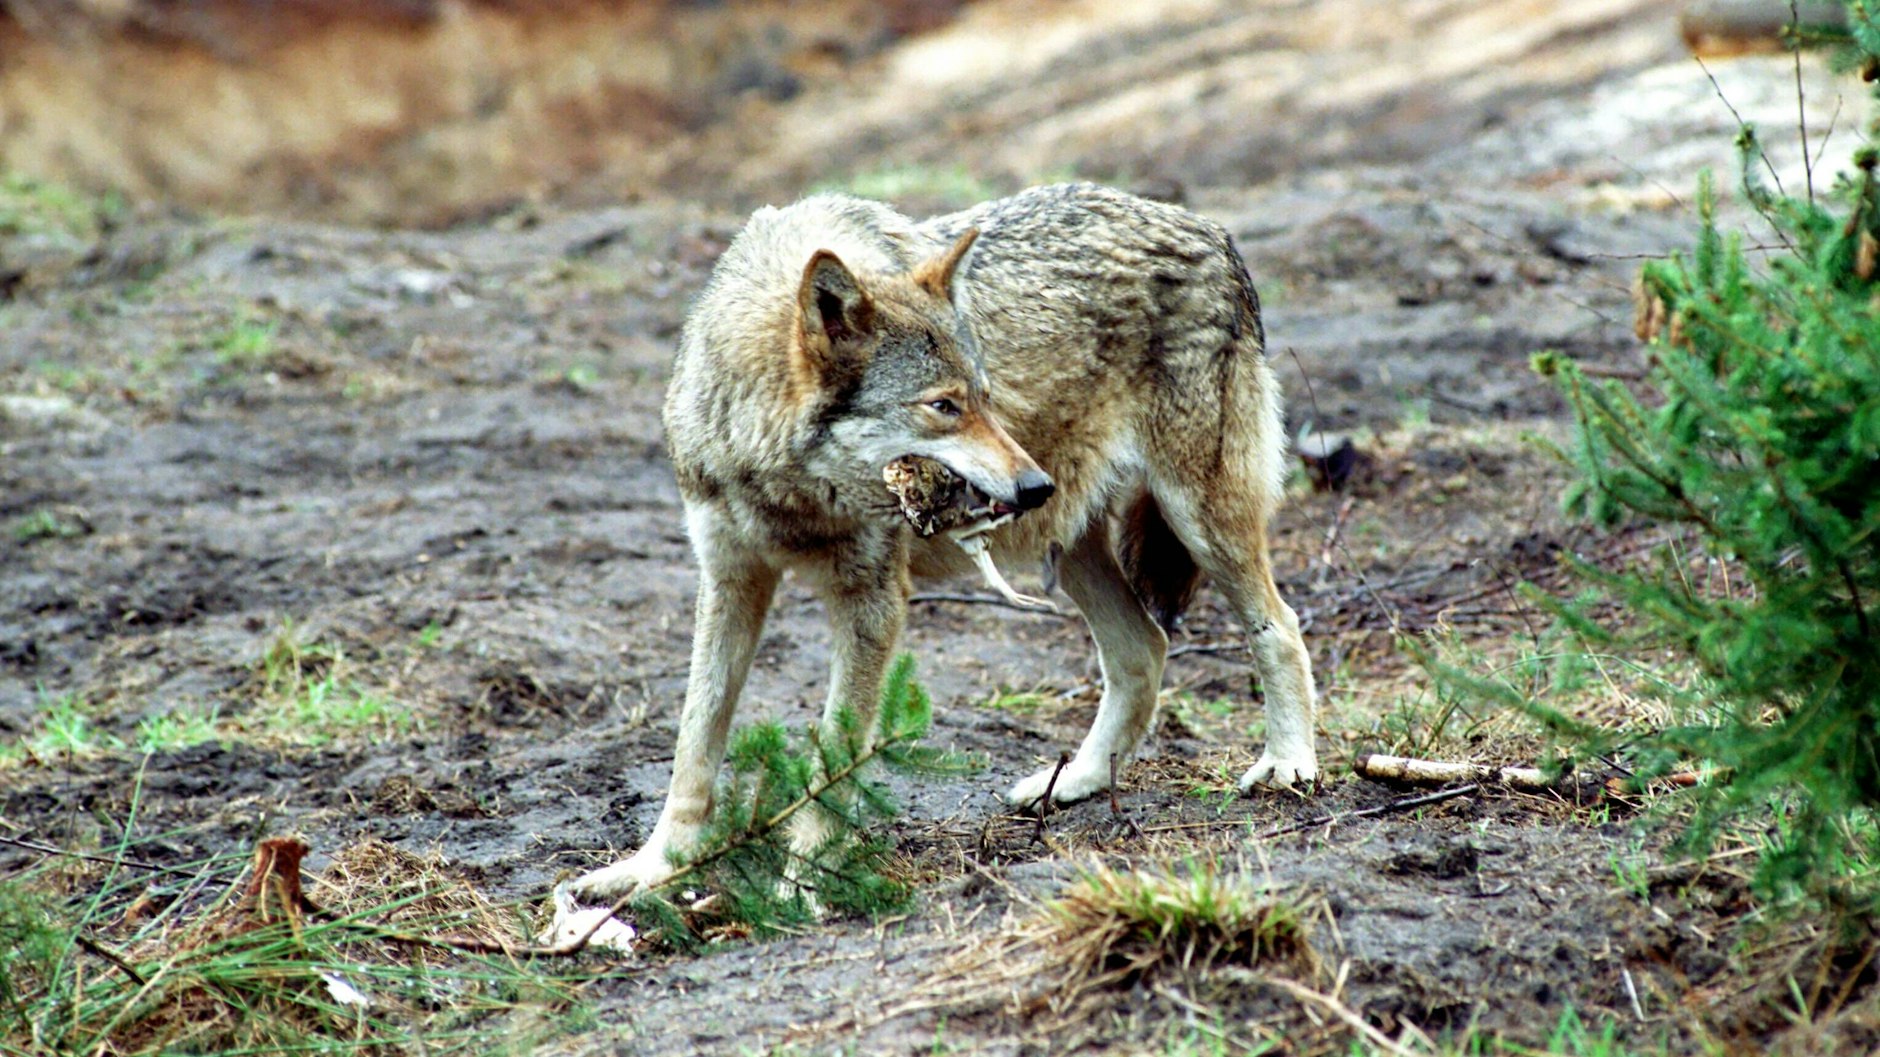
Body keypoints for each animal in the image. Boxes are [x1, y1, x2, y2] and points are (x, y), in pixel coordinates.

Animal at [572, 183, 1318, 898]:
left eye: (984, 395)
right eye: (944, 406)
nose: (1034, 484)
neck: (785, 485)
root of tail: (1211, 229)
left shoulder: (873, 601)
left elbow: (834, 754)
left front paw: (805, 882)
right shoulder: (729, 578)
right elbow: (694, 746)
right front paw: (655, 867)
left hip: (1197, 519)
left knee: (1280, 627)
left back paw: (1289, 763)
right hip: (1069, 545)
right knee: (1145, 649)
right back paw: (1078, 782)